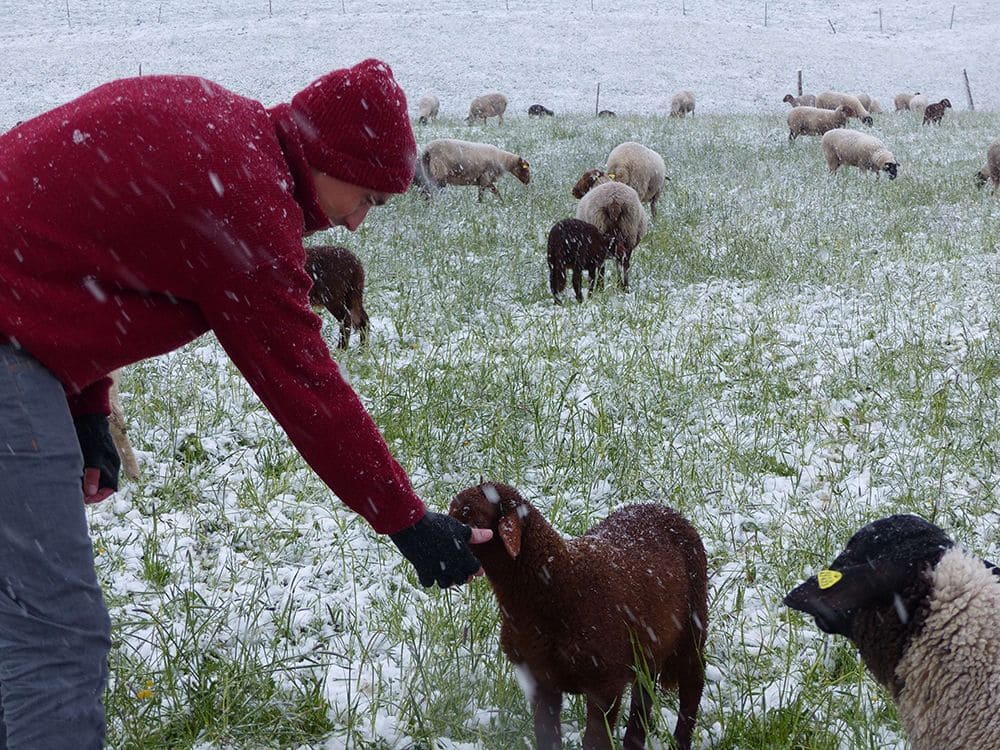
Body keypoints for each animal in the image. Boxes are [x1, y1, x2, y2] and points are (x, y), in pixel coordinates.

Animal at [449, 482, 708, 750]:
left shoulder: (605, 683)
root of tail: (660, 508)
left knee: (692, 684)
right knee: (644, 692)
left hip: (693, 625)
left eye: (470, 513)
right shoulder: (540, 679)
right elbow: (547, 736)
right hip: (651, 642)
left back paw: (681, 740)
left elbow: (595, 741)